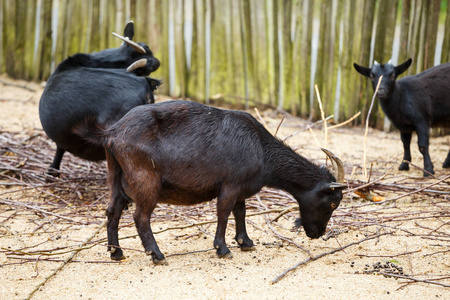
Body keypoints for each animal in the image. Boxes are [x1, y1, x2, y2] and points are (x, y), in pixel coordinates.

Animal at [74, 99, 348, 264]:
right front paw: (223, 249)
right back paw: (157, 254)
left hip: (117, 177)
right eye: (333, 203)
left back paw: (116, 253)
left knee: (112, 211)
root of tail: (111, 133)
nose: (316, 234)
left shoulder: (240, 189)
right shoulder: (230, 185)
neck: (261, 148)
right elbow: (224, 213)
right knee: (140, 216)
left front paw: (246, 242)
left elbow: (240, 211)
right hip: (145, 180)